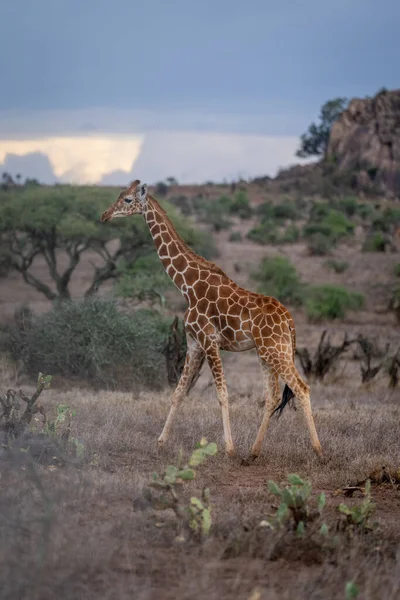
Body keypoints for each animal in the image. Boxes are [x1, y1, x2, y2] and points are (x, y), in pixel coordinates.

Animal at [101, 178, 324, 460]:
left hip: (275, 350)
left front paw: (229, 449)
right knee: (273, 396)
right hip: (267, 352)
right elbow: (179, 392)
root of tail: (289, 320)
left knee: (301, 388)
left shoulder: (209, 341)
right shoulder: (194, 343)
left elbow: (222, 394)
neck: (186, 285)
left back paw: (318, 451)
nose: (105, 215)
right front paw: (161, 443)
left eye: (128, 199)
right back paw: (252, 453)